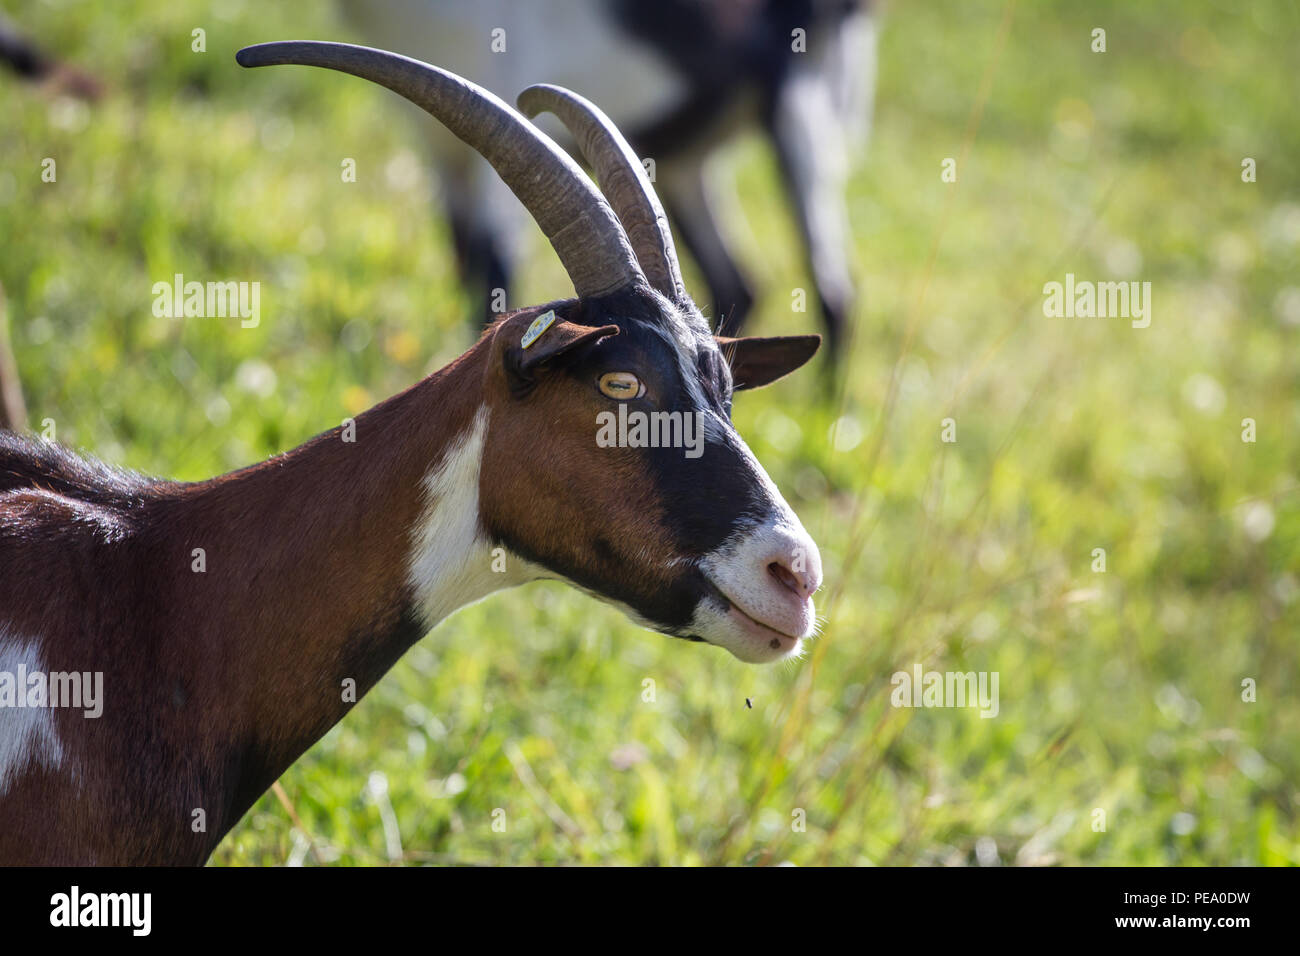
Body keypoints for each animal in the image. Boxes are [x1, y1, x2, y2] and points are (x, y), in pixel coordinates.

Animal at [340, 0, 878, 358]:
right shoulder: (440, 148)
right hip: (685, 161)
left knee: (833, 292)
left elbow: (493, 269)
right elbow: (462, 258)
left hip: (801, 109)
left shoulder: (499, 85)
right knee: (737, 282)